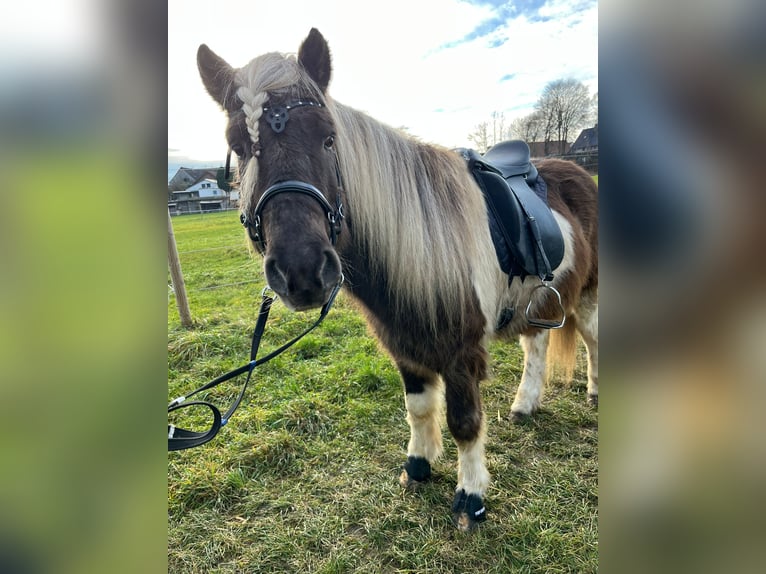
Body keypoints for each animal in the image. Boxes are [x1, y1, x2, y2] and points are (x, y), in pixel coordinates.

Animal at [196, 28, 598, 531]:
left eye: (329, 140)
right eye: (240, 146)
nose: (302, 272)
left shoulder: (461, 352)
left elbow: (464, 421)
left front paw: (470, 497)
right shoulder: (404, 341)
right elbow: (419, 407)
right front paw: (419, 466)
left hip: (588, 292)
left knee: (592, 337)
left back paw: (595, 393)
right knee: (536, 347)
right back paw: (525, 404)